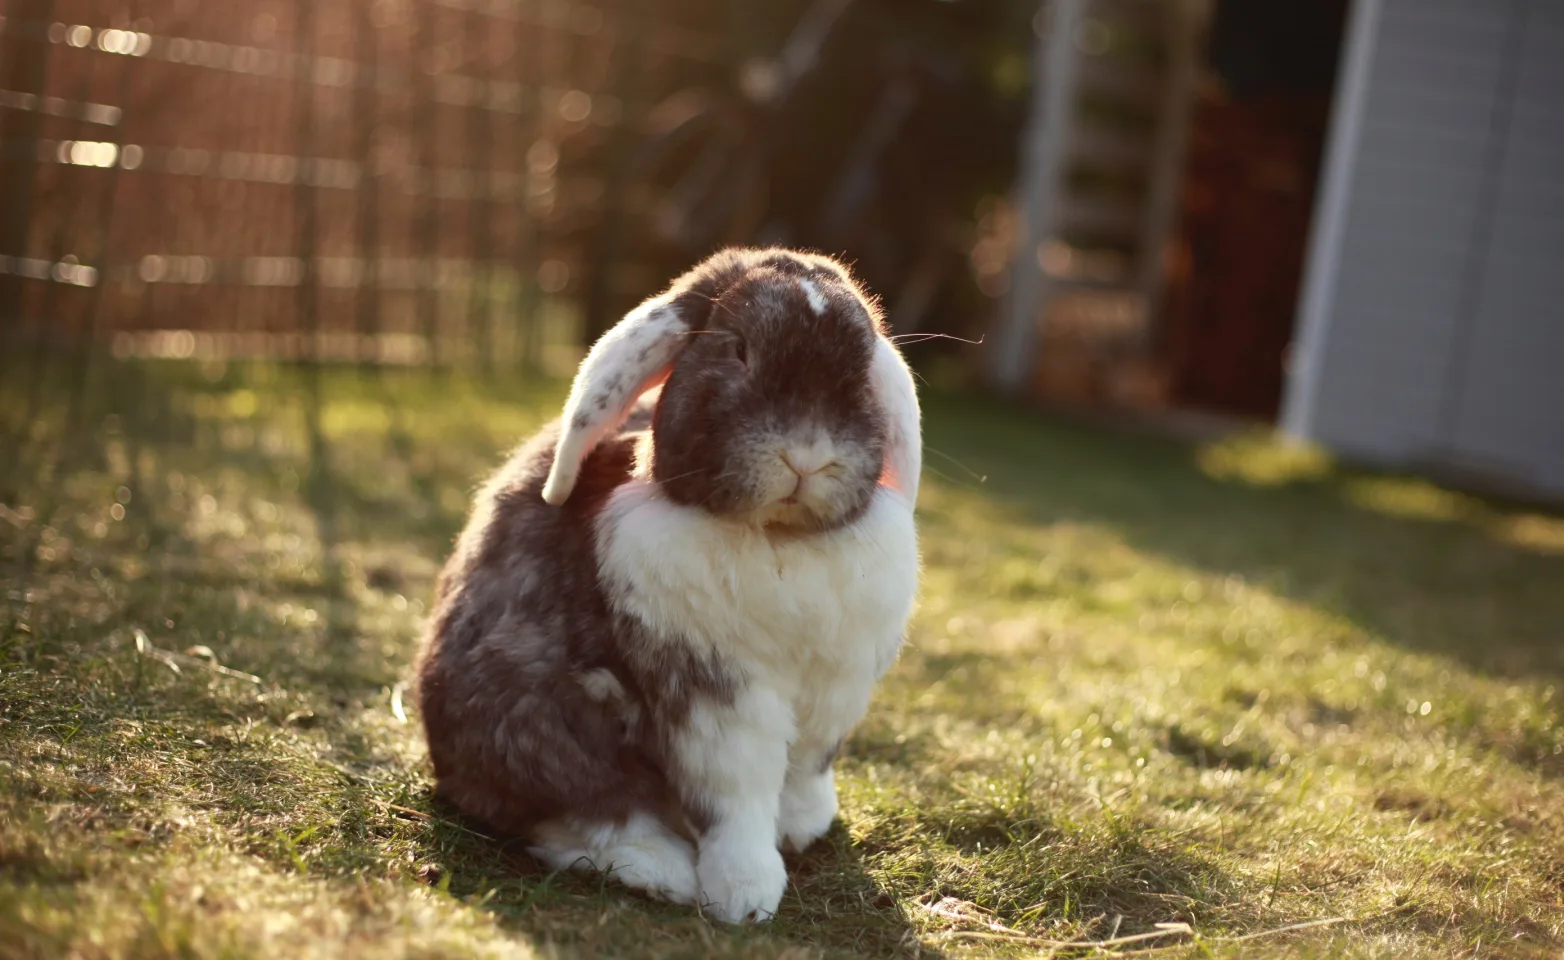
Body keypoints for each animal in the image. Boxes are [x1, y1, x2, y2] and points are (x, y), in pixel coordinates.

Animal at [416, 248, 919, 925]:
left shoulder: (832, 690)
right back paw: (666, 872)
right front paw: (745, 895)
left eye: (864, 366)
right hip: (535, 719)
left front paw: (803, 828)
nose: (807, 455)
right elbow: (735, 795)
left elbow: (805, 770)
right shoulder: (711, 689)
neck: (778, 540)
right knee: (582, 815)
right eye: (738, 349)